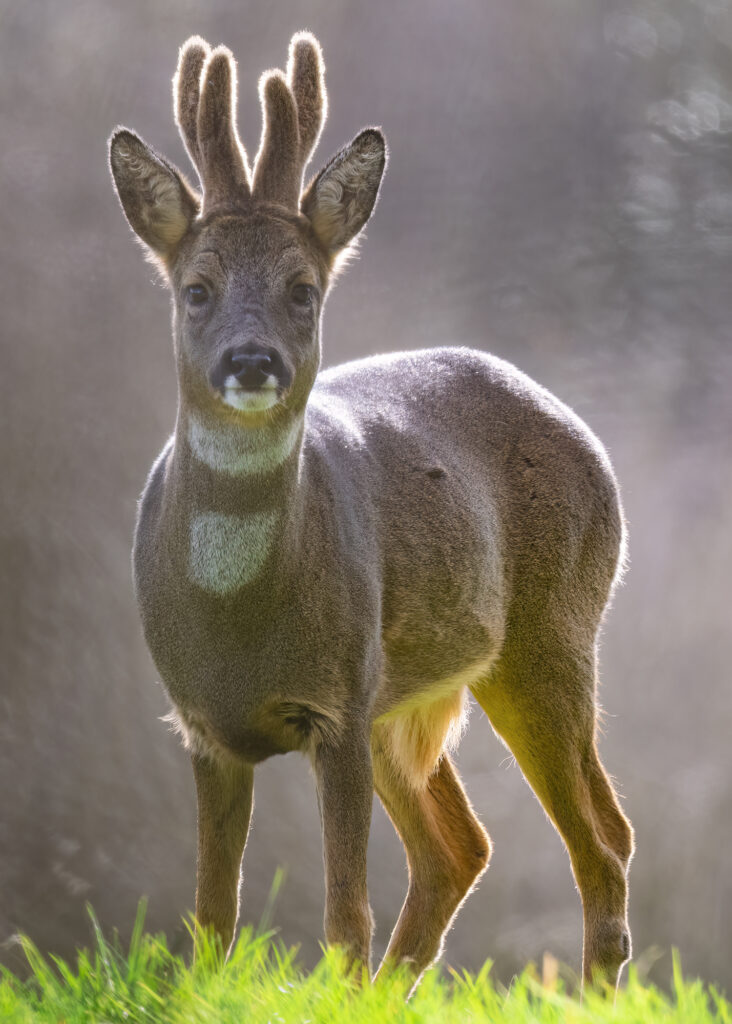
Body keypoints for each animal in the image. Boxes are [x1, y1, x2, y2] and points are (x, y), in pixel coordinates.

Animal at [108, 30, 634, 992]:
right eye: (196, 288)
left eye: (303, 288)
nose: (252, 361)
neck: (240, 625)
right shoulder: (203, 725)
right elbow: (211, 917)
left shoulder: (339, 702)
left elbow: (343, 911)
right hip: (410, 693)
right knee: (464, 847)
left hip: (552, 631)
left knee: (600, 841)